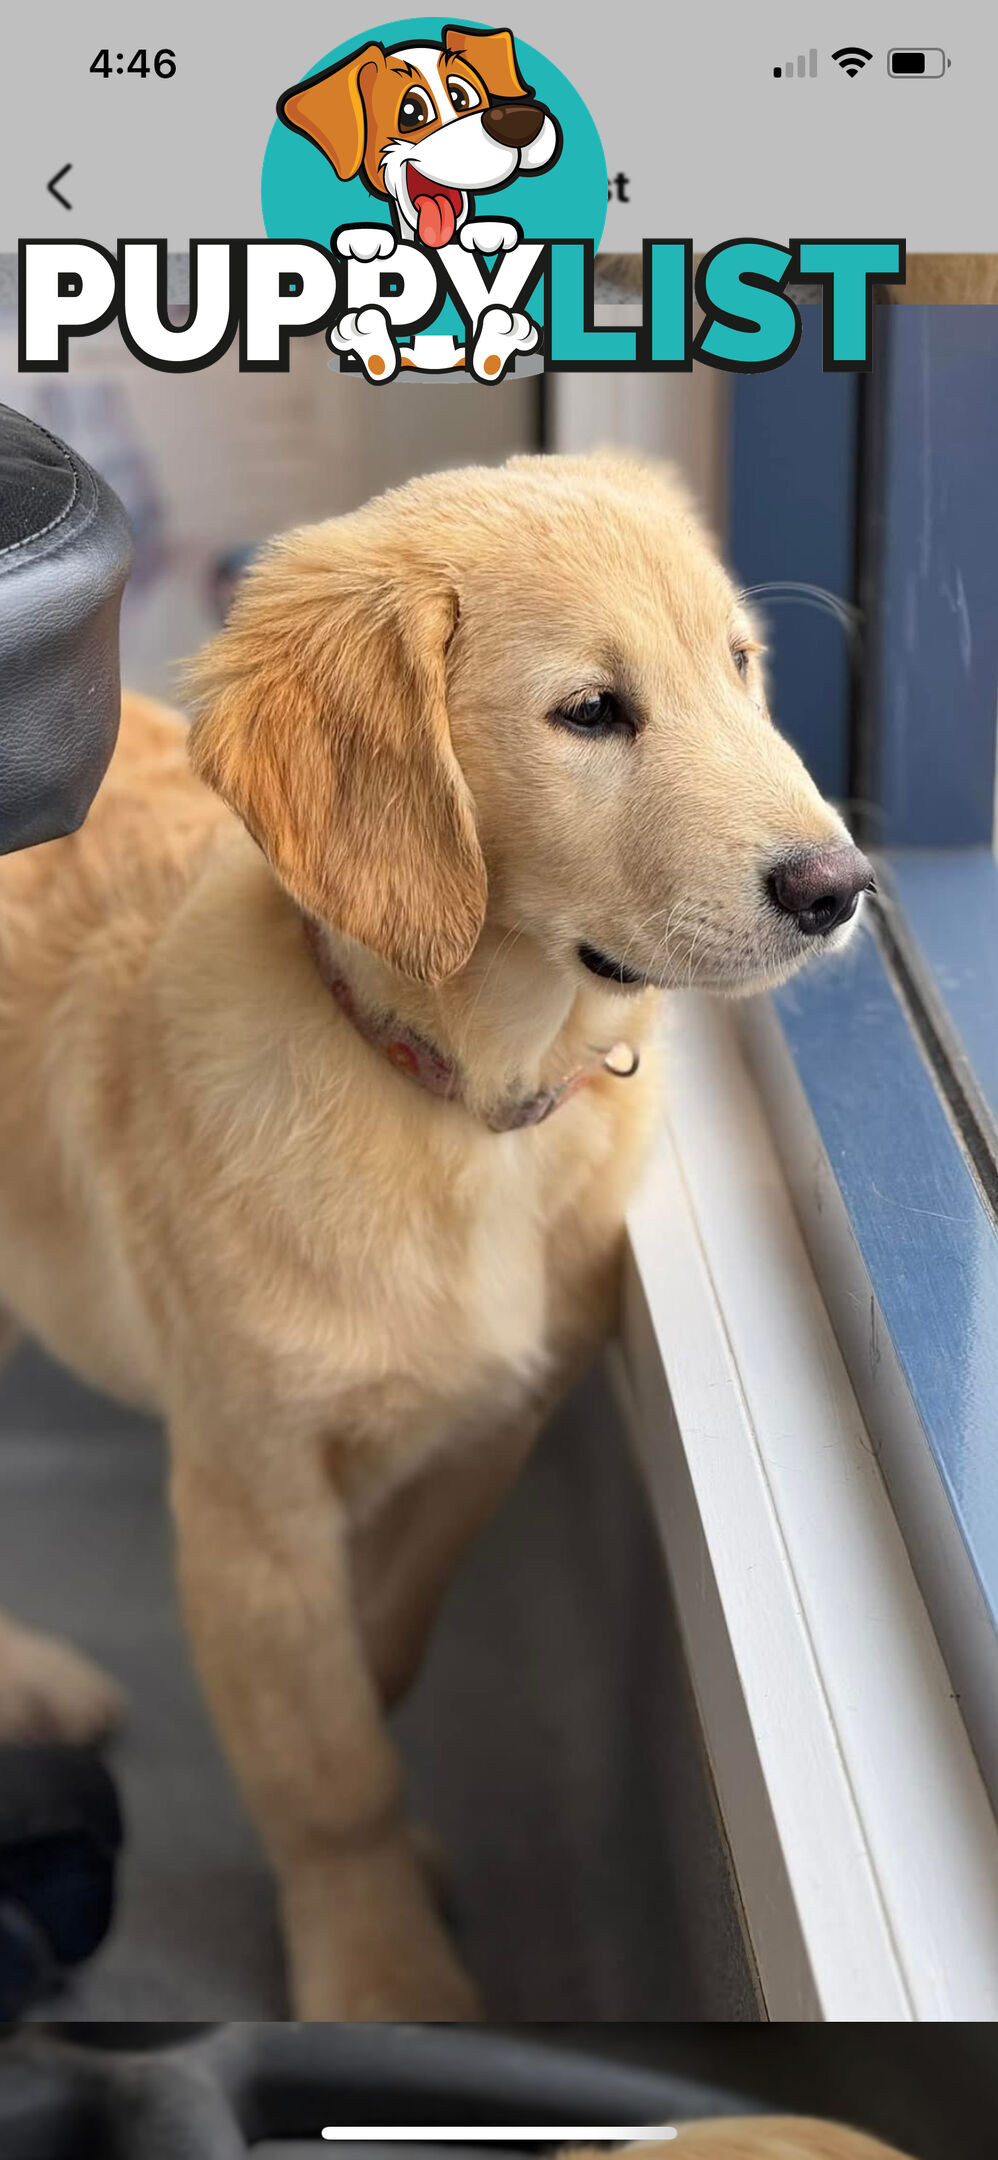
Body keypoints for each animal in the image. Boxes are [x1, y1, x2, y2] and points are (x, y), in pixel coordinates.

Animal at [0, 447, 864, 2013]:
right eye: (590, 712)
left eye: (737, 666)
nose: (839, 891)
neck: (461, 1098)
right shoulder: (249, 1499)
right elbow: (324, 1763)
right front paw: (380, 1972)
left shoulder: (490, 1424)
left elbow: (379, 1652)